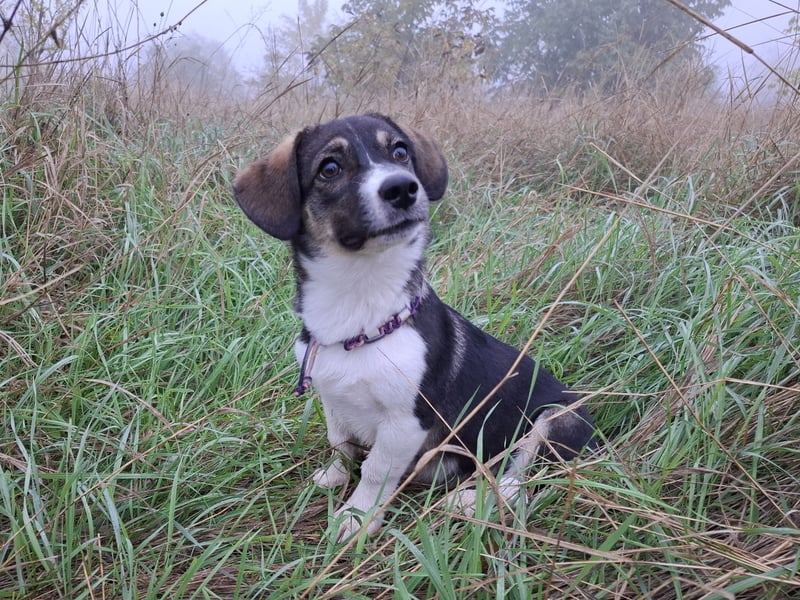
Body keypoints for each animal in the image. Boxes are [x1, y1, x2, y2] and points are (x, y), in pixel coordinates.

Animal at [231, 112, 592, 540]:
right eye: (329, 168)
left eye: (400, 152)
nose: (402, 188)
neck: (360, 310)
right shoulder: (333, 400)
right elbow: (341, 444)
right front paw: (334, 476)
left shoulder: (405, 424)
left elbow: (374, 472)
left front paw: (357, 518)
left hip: (555, 418)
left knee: (520, 480)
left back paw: (466, 501)